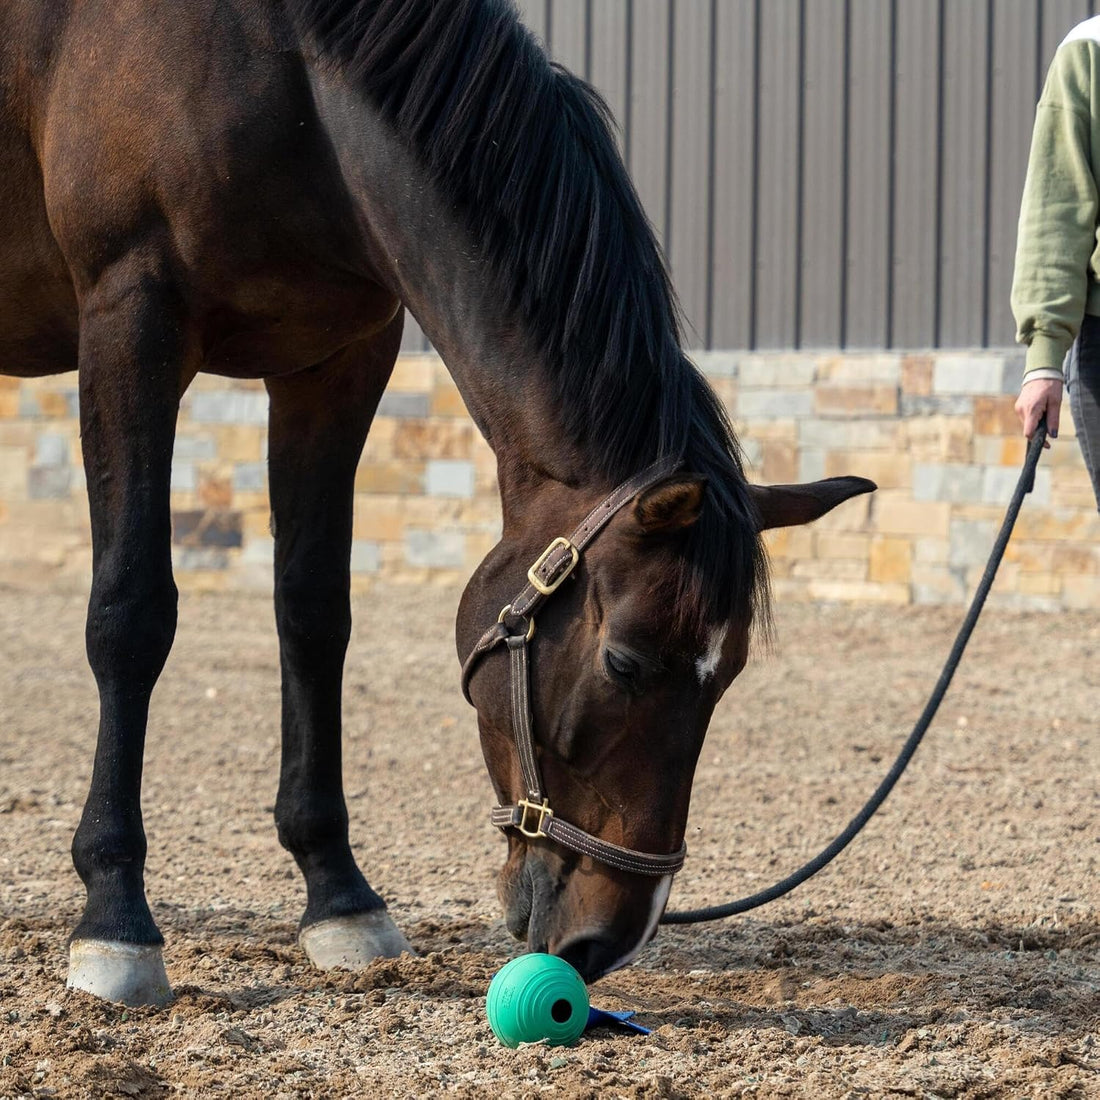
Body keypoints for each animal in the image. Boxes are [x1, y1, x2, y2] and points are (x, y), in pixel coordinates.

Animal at [0, 0, 874, 1006]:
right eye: (623, 662)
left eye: (726, 678)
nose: (606, 940)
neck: (278, 70)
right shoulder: (130, 324)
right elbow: (131, 614)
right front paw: (114, 917)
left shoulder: (338, 362)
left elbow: (313, 617)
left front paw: (339, 897)